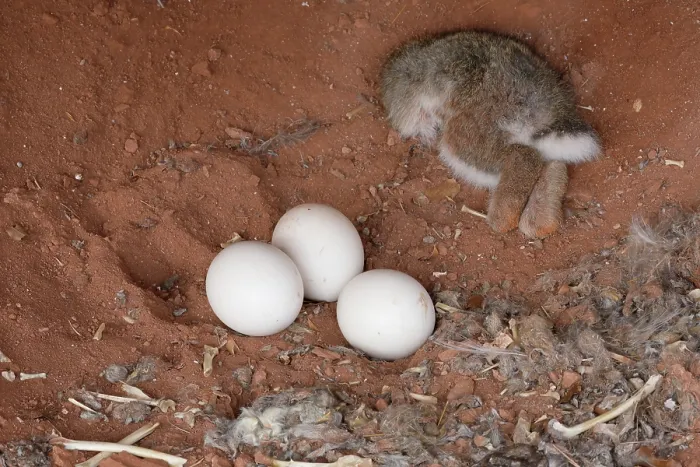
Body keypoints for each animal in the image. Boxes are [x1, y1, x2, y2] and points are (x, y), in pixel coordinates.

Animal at [379, 30, 601, 238]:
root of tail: (544, 113)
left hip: (464, 135)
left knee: (523, 155)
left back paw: (501, 221)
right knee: (548, 162)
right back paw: (540, 220)